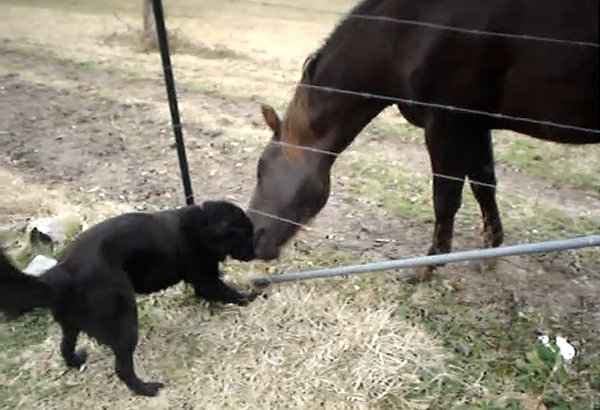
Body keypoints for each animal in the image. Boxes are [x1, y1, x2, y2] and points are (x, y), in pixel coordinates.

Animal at [2, 200, 260, 396]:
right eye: (245, 234)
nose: (257, 252)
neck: (202, 227)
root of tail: (63, 272)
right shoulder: (205, 279)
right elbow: (226, 291)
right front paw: (251, 296)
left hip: (71, 323)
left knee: (65, 346)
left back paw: (76, 361)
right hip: (124, 321)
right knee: (122, 368)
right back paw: (146, 389)